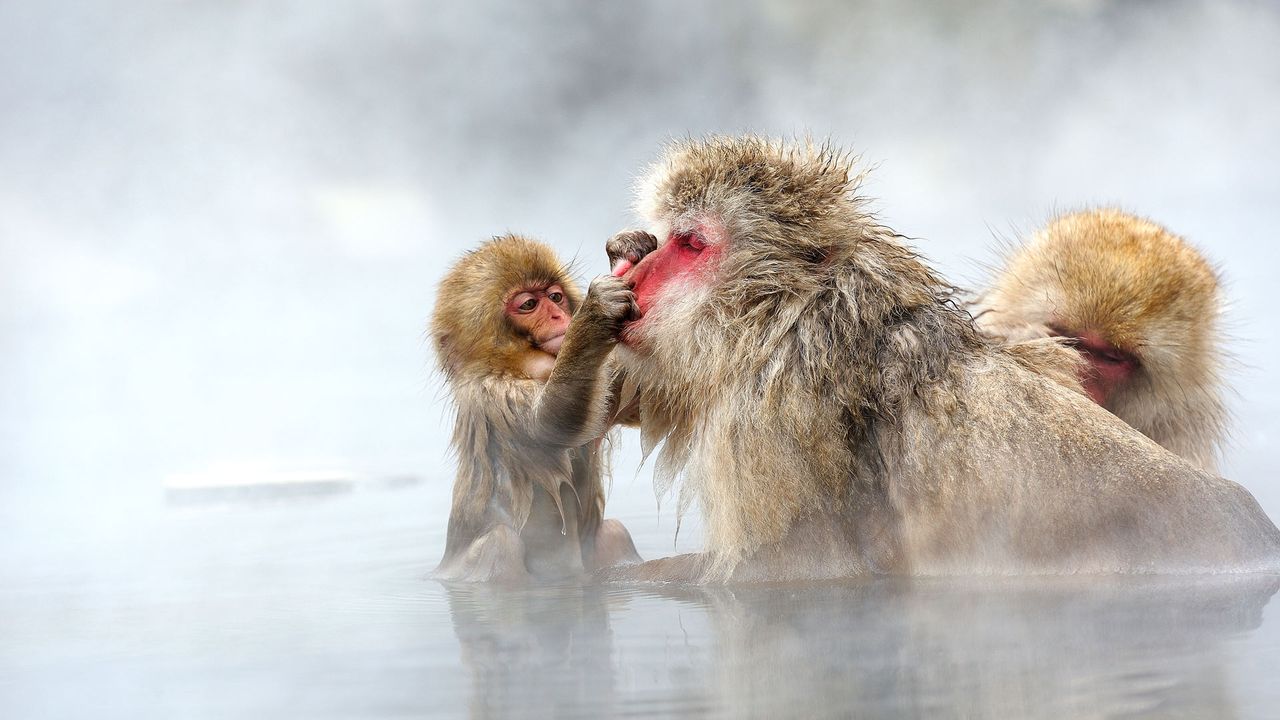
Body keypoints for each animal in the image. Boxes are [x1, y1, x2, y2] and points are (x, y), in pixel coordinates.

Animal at [430, 234, 642, 583]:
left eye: (555, 297)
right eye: (529, 304)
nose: (560, 316)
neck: (520, 368)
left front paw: (626, 248)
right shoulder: (494, 393)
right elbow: (550, 423)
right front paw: (596, 311)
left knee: (614, 533)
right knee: (501, 543)